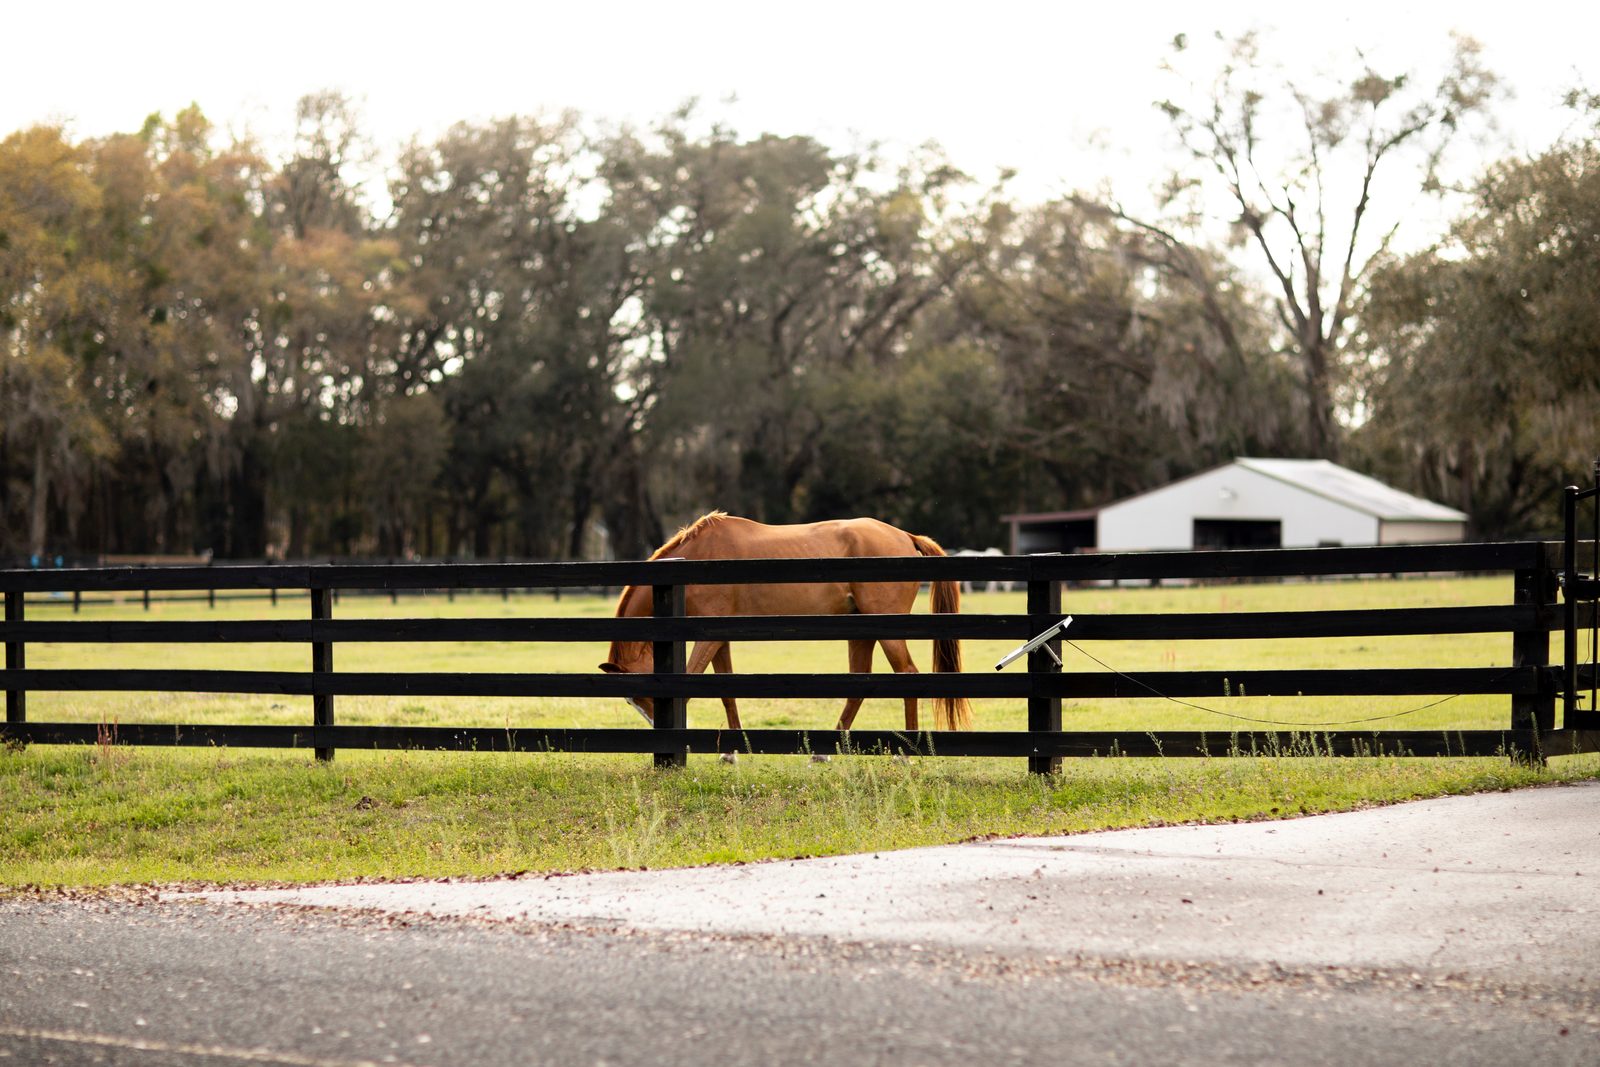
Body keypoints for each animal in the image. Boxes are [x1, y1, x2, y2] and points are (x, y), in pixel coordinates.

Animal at [598, 511, 973, 732]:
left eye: (641, 694)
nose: (655, 727)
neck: (698, 559)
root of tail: (907, 536)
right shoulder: (718, 637)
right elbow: (725, 690)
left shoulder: (707, 638)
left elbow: (691, 683)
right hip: (863, 628)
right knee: (860, 683)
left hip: (885, 627)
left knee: (907, 674)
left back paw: (906, 752)